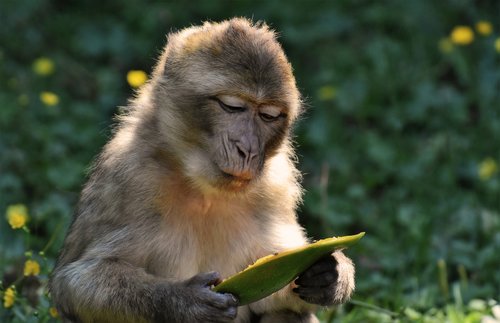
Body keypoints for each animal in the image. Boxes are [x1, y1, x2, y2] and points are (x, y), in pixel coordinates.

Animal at [49, 18, 356, 323]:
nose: (248, 150)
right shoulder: (129, 177)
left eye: (268, 116)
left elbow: (275, 279)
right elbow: (74, 283)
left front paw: (330, 273)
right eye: (232, 107)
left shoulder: (275, 185)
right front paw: (185, 301)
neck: (202, 187)